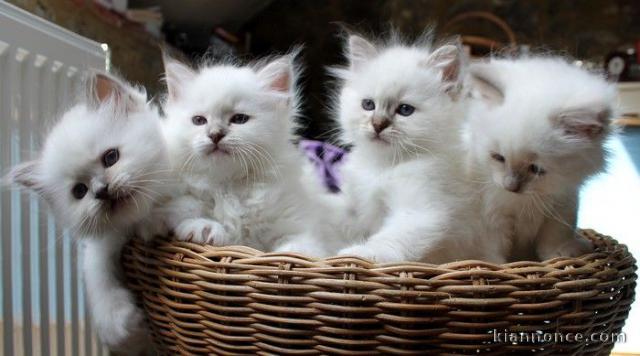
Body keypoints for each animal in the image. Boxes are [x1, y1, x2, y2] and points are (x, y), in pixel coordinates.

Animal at [7, 71, 170, 354]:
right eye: (80, 191)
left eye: (111, 157)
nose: (101, 191)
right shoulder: (105, 243)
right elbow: (95, 272)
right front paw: (119, 326)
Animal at [160, 51, 330, 256]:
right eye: (199, 120)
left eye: (239, 119)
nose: (215, 134)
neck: (228, 186)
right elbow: (187, 207)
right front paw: (203, 226)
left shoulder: (299, 226)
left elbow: (298, 249)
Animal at [330, 32, 490, 262]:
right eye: (368, 105)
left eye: (405, 110)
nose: (378, 125)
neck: (384, 166)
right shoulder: (360, 205)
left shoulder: (422, 211)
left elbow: (388, 239)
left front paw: (359, 254)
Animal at [464, 56, 616, 262]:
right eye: (498, 158)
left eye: (536, 169)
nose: (510, 187)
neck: (526, 202)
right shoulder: (493, 216)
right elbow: (495, 252)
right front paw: (495, 265)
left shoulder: (561, 204)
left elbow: (556, 235)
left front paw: (560, 255)